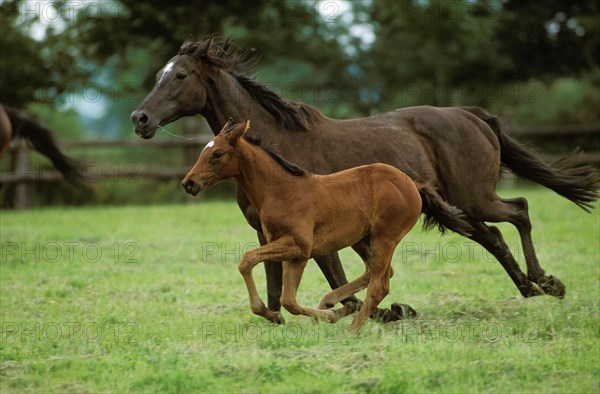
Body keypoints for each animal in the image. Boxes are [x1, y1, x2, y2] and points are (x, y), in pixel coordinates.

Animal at [130, 34, 596, 318]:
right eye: (158, 75)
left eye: (180, 75)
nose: (140, 119)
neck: (274, 146)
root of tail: (471, 113)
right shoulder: (267, 232)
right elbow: (275, 290)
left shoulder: (314, 232)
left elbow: (337, 281)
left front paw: (383, 312)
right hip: (457, 204)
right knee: (493, 235)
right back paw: (532, 288)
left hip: (475, 196)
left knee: (519, 210)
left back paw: (545, 281)